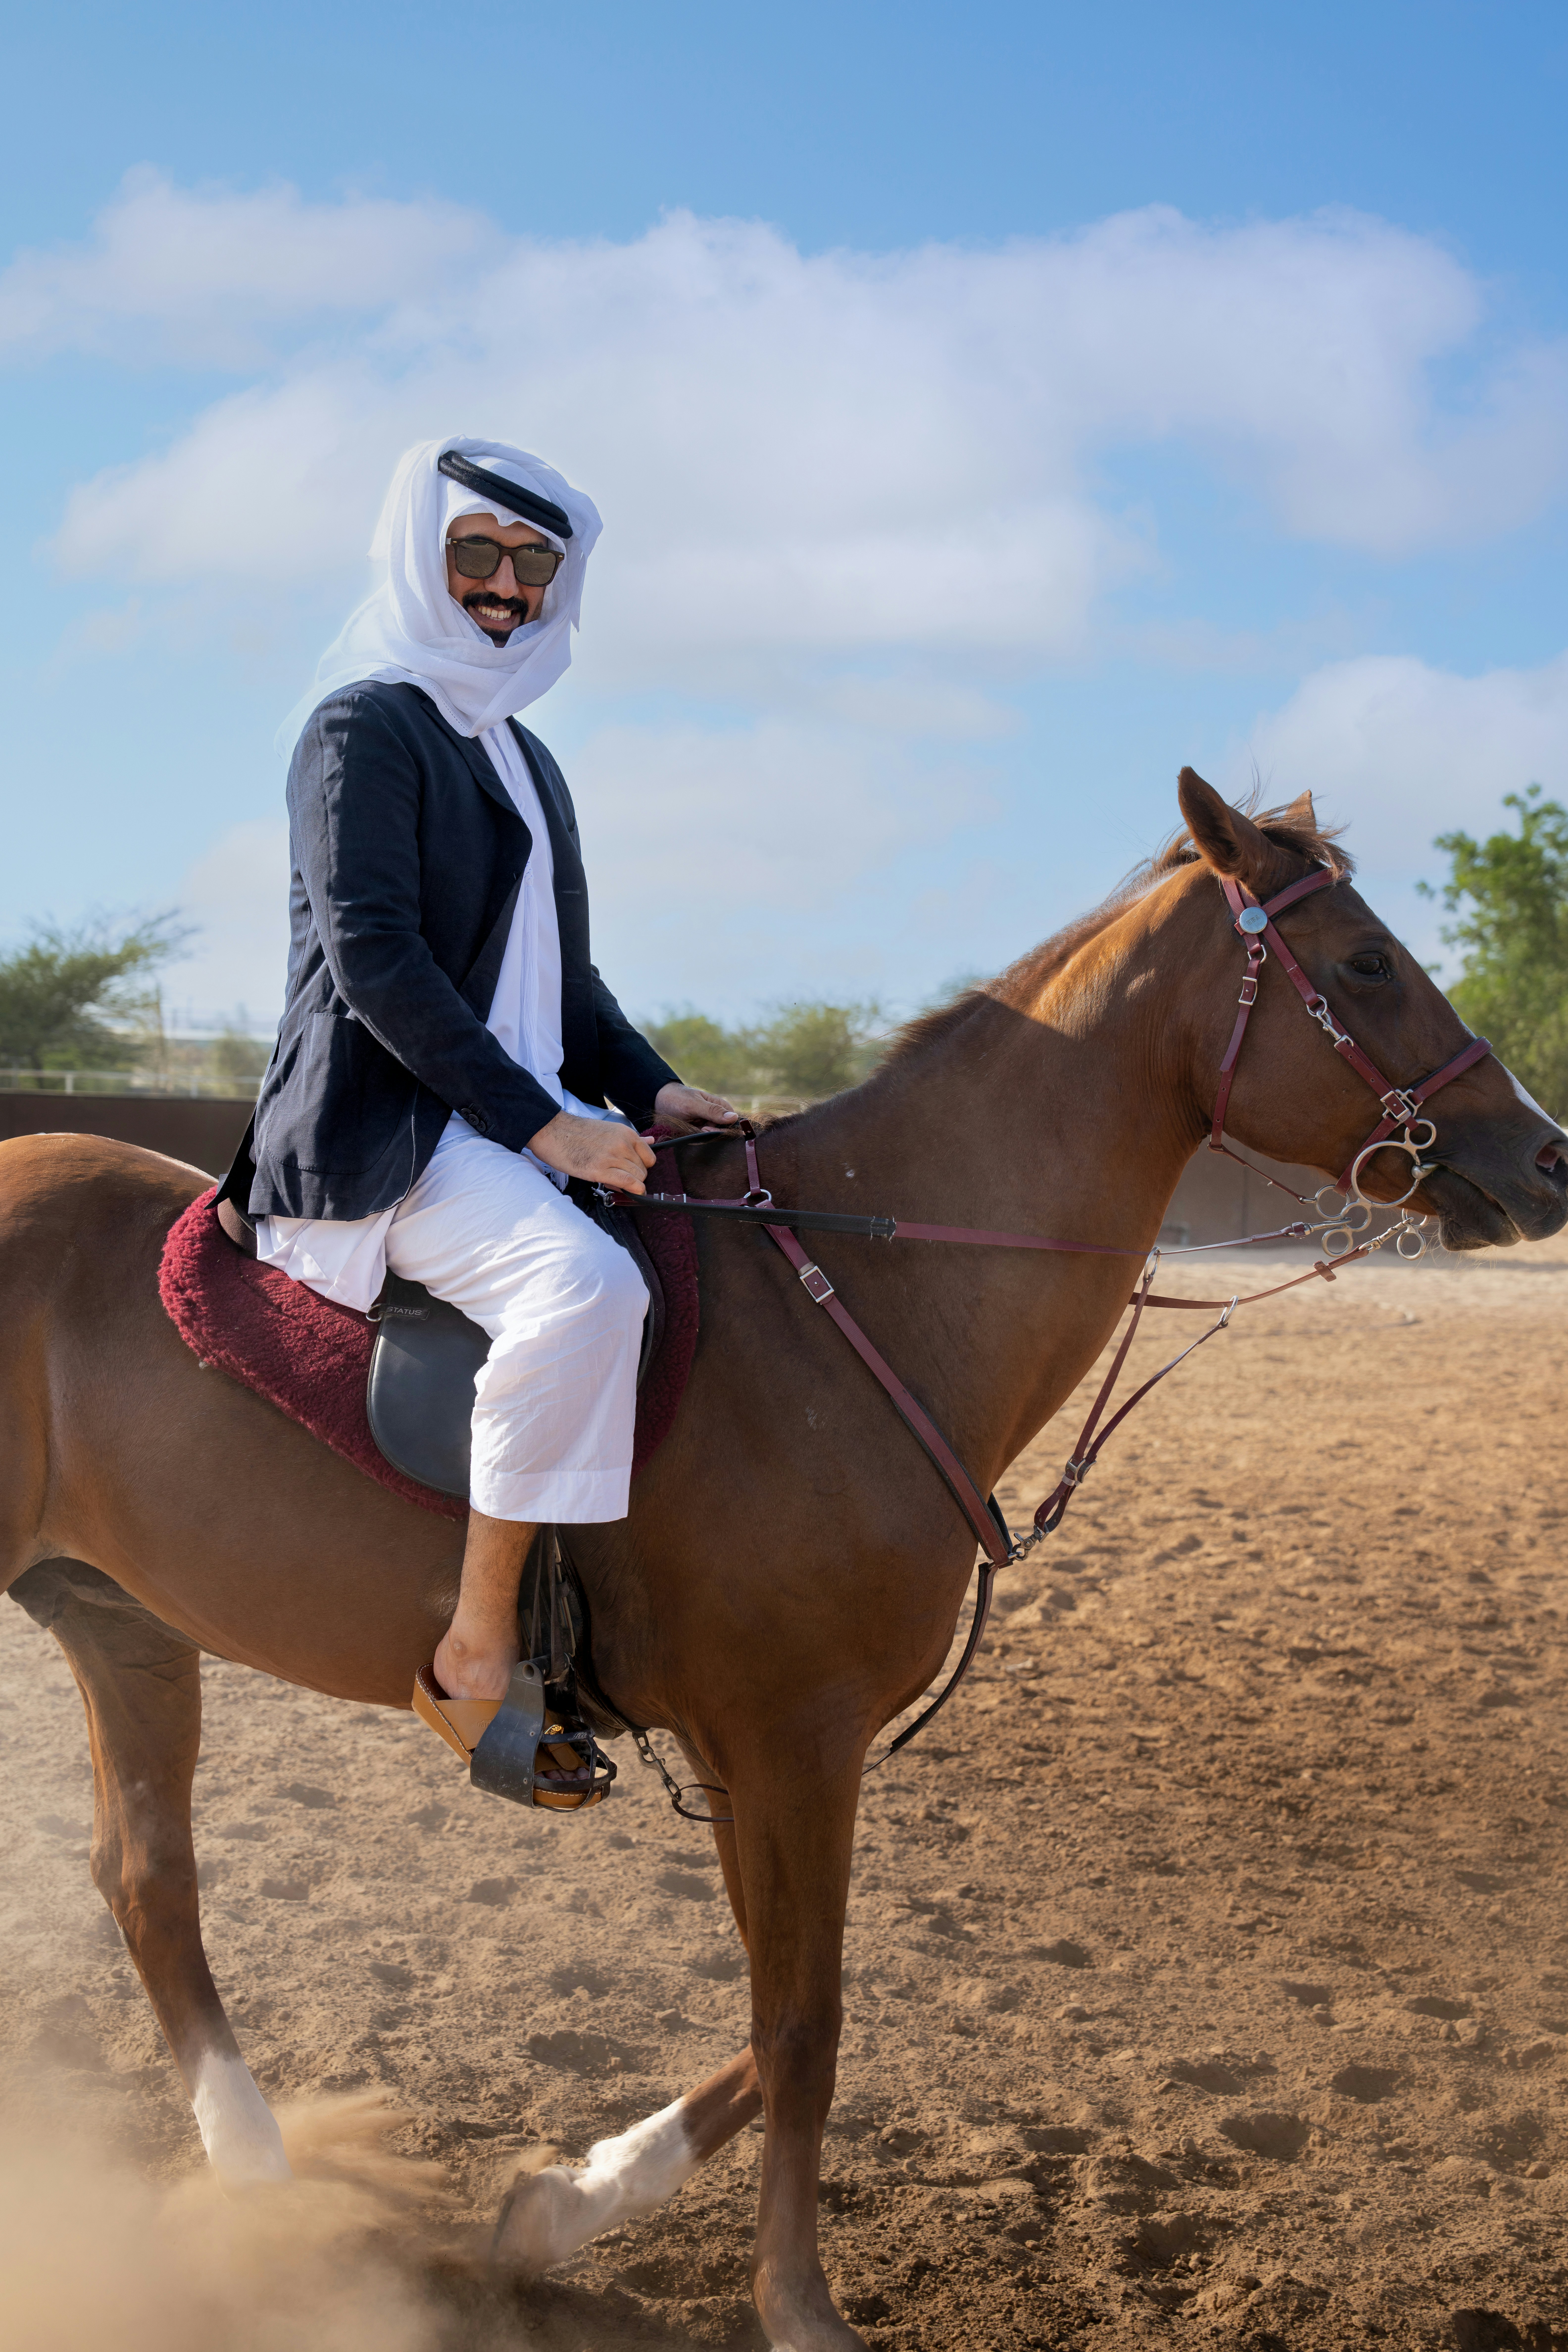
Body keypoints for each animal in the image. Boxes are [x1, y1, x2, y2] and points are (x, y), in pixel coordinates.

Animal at [2, 771, 1563, 2351]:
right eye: (1365, 962)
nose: (1545, 1155)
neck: (863, 1288)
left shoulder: (750, 1754)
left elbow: (772, 2020)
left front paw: (558, 2204)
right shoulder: (794, 1739)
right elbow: (805, 2021)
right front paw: (799, 2304)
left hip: (126, 1625)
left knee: (149, 1880)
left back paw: (267, 2195)